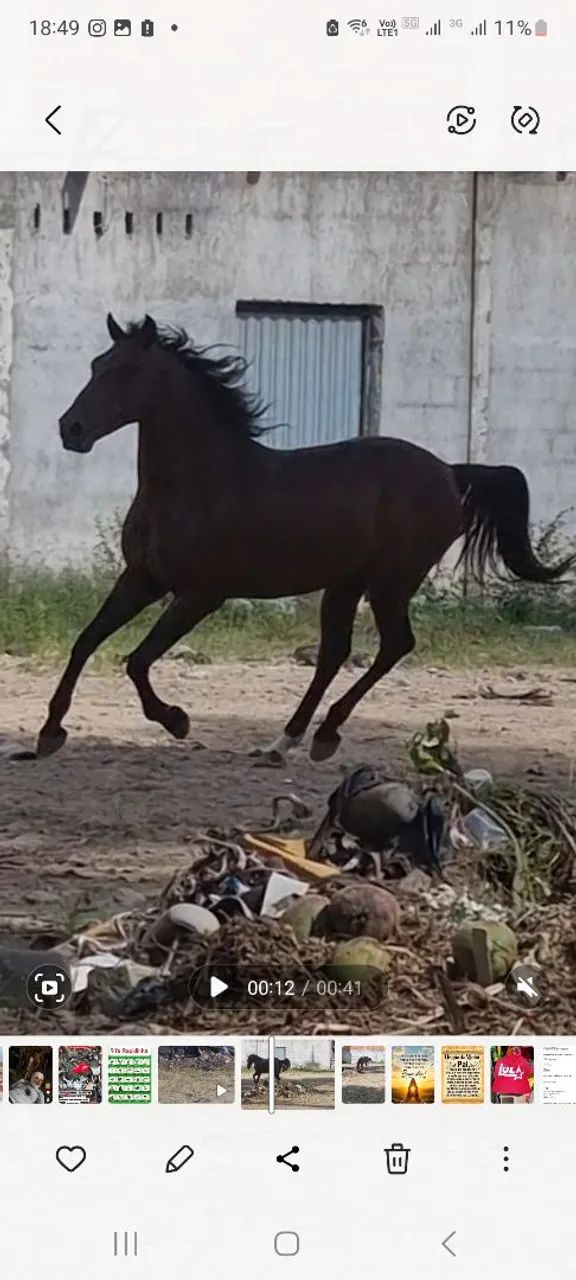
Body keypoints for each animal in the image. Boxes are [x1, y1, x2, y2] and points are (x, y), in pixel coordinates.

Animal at [36, 313, 572, 762]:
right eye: (96, 364)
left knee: (395, 644)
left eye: (125, 371)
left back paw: (326, 734)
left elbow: (137, 661)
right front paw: (50, 732)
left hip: (390, 582)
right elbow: (86, 642)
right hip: (345, 584)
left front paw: (177, 721)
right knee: (335, 652)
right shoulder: (141, 580)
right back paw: (287, 740)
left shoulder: (200, 594)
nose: (70, 428)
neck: (199, 482)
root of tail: (450, 473)